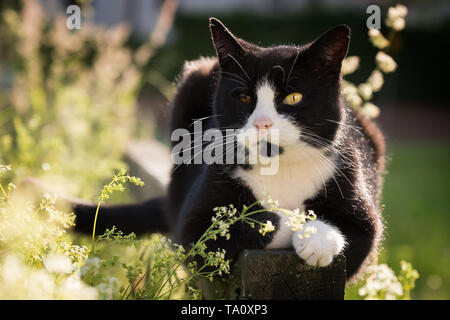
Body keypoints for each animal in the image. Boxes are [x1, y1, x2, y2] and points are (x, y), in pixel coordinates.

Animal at [74, 18, 386, 280]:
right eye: (245, 97)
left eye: (294, 97)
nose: (262, 123)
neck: (280, 167)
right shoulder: (194, 222)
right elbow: (224, 231)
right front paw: (291, 223)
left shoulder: (350, 178)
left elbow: (364, 233)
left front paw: (316, 240)